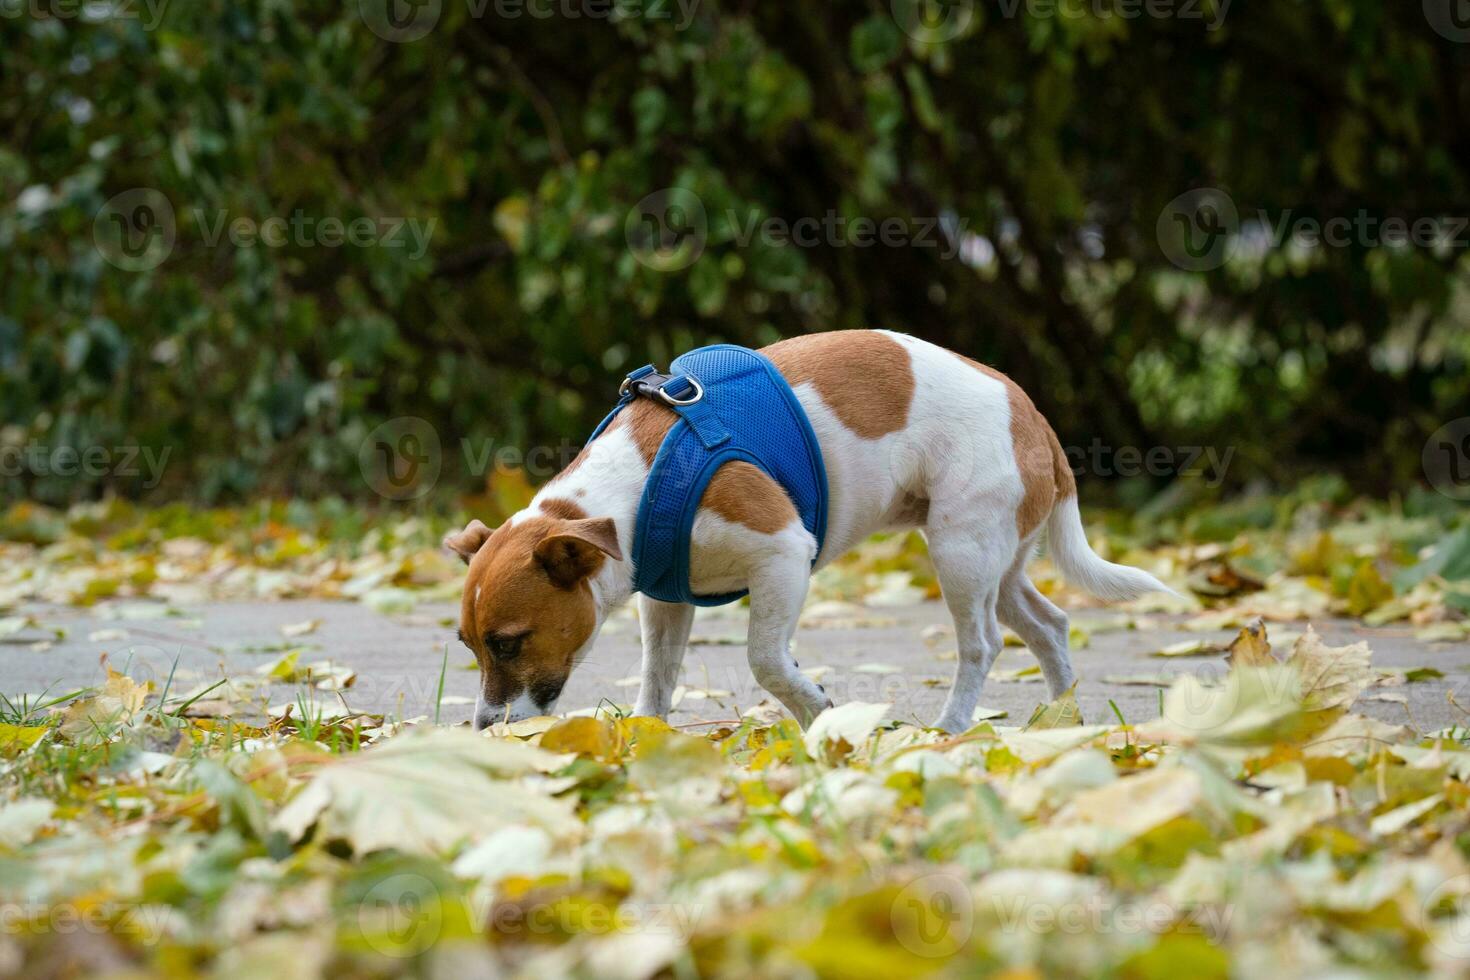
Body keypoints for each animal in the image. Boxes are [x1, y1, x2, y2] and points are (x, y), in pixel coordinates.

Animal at [446, 333, 1170, 731]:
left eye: (508, 644)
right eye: (470, 647)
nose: (481, 726)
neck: (635, 481)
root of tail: (1032, 414)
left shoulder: (782, 557)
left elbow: (766, 660)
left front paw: (816, 711)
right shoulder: (666, 599)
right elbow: (657, 676)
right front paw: (647, 736)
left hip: (960, 554)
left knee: (983, 645)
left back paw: (954, 725)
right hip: (1001, 561)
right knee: (1049, 625)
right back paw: (1064, 717)